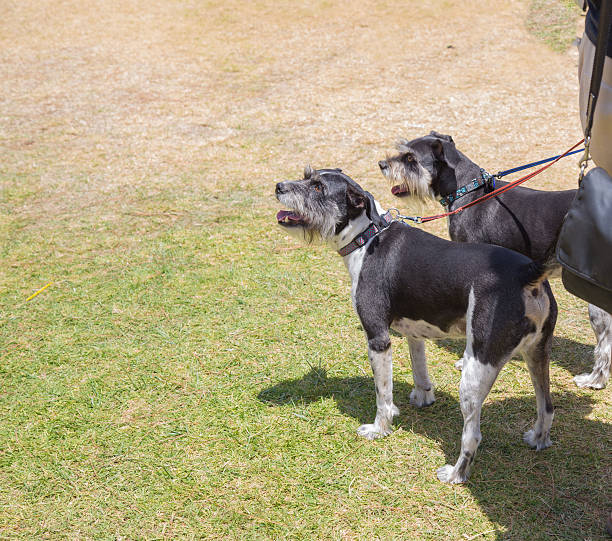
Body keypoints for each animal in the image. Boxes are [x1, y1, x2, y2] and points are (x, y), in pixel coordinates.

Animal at [274, 167, 556, 484]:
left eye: (318, 188)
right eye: (307, 175)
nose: (279, 187)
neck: (367, 238)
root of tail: (526, 273)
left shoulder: (378, 339)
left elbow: (382, 394)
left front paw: (379, 429)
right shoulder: (414, 332)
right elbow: (419, 369)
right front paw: (423, 398)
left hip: (475, 370)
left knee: (472, 435)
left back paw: (455, 475)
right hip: (538, 354)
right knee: (547, 407)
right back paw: (538, 439)